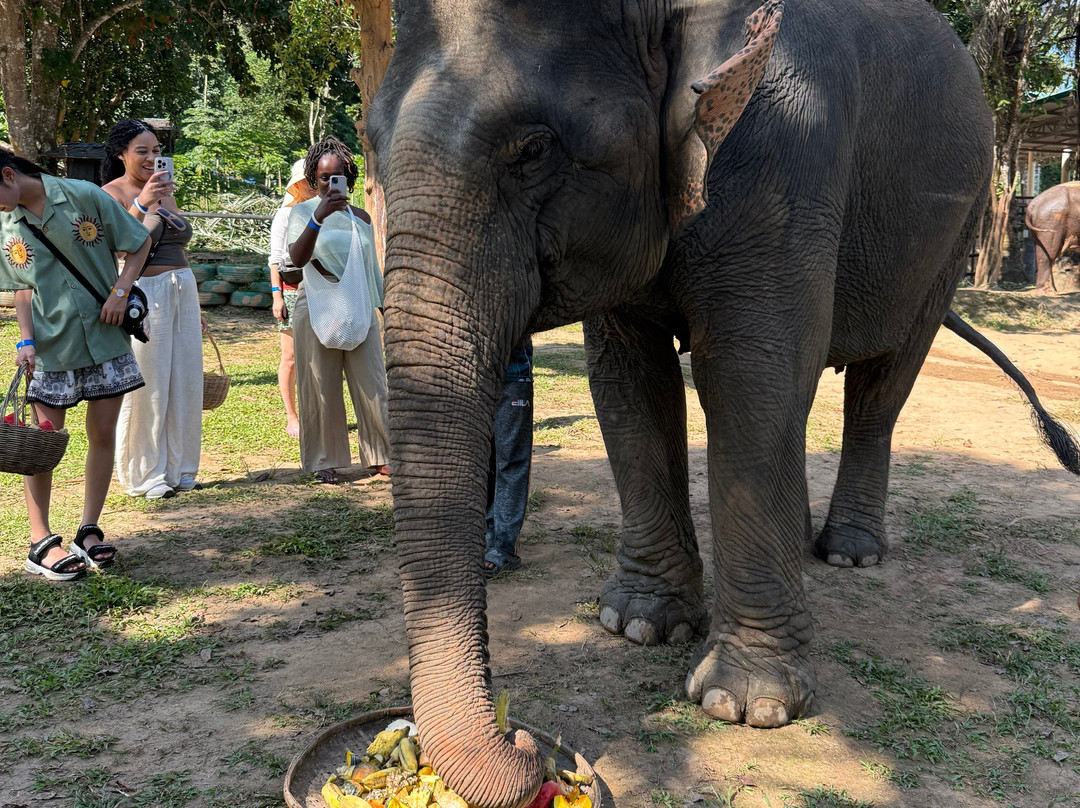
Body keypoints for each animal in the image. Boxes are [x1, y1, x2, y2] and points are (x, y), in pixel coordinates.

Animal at [364, 1, 1077, 806]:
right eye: (370, 143)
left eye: (534, 150)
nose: (526, 747)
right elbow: (628, 383)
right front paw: (636, 625)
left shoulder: (784, 146)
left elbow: (749, 375)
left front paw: (745, 706)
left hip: (953, 235)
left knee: (882, 384)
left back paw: (851, 553)